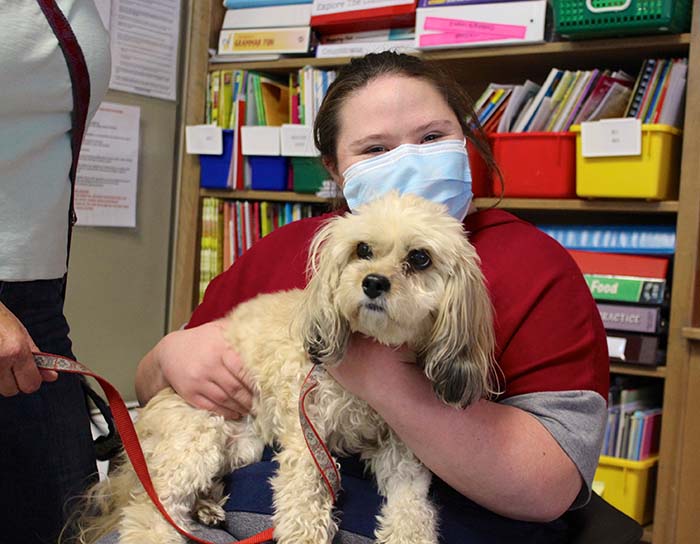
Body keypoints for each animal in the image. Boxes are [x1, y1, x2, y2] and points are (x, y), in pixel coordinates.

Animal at [76, 192, 494, 544]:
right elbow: (304, 497)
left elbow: (413, 507)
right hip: (198, 437)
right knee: (152, 507)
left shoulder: (401, 450)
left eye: (420, 258)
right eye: (362, 249)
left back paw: (207, 507)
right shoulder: (307, 430)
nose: (373, 282)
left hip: (241, 445)